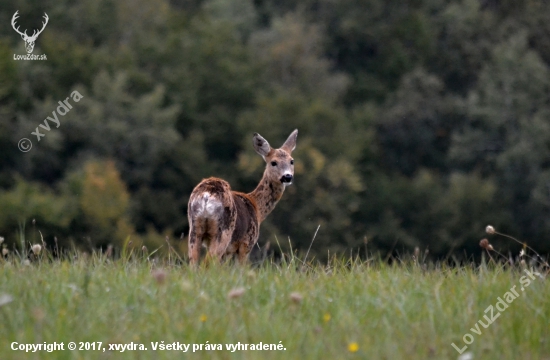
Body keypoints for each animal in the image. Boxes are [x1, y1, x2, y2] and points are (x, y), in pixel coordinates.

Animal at [188, 129, 300, 264]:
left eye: (292, 161)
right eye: (273, 162)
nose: (287, 176)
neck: (257, 208)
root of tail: (206, 196)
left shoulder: (228, 252)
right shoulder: (246, 243)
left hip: (194, 229)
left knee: (193, 262)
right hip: (224, 231)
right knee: (208, 262)